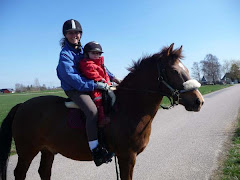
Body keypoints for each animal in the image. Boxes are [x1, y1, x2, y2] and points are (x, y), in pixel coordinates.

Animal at [0, 43, 203, 179]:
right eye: (174, 71)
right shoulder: (127, 157)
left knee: (44, 171)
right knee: (20, 173)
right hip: (27, 151)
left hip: (47, 150)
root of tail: (22, 105)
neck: (128, 108)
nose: (198, 101)